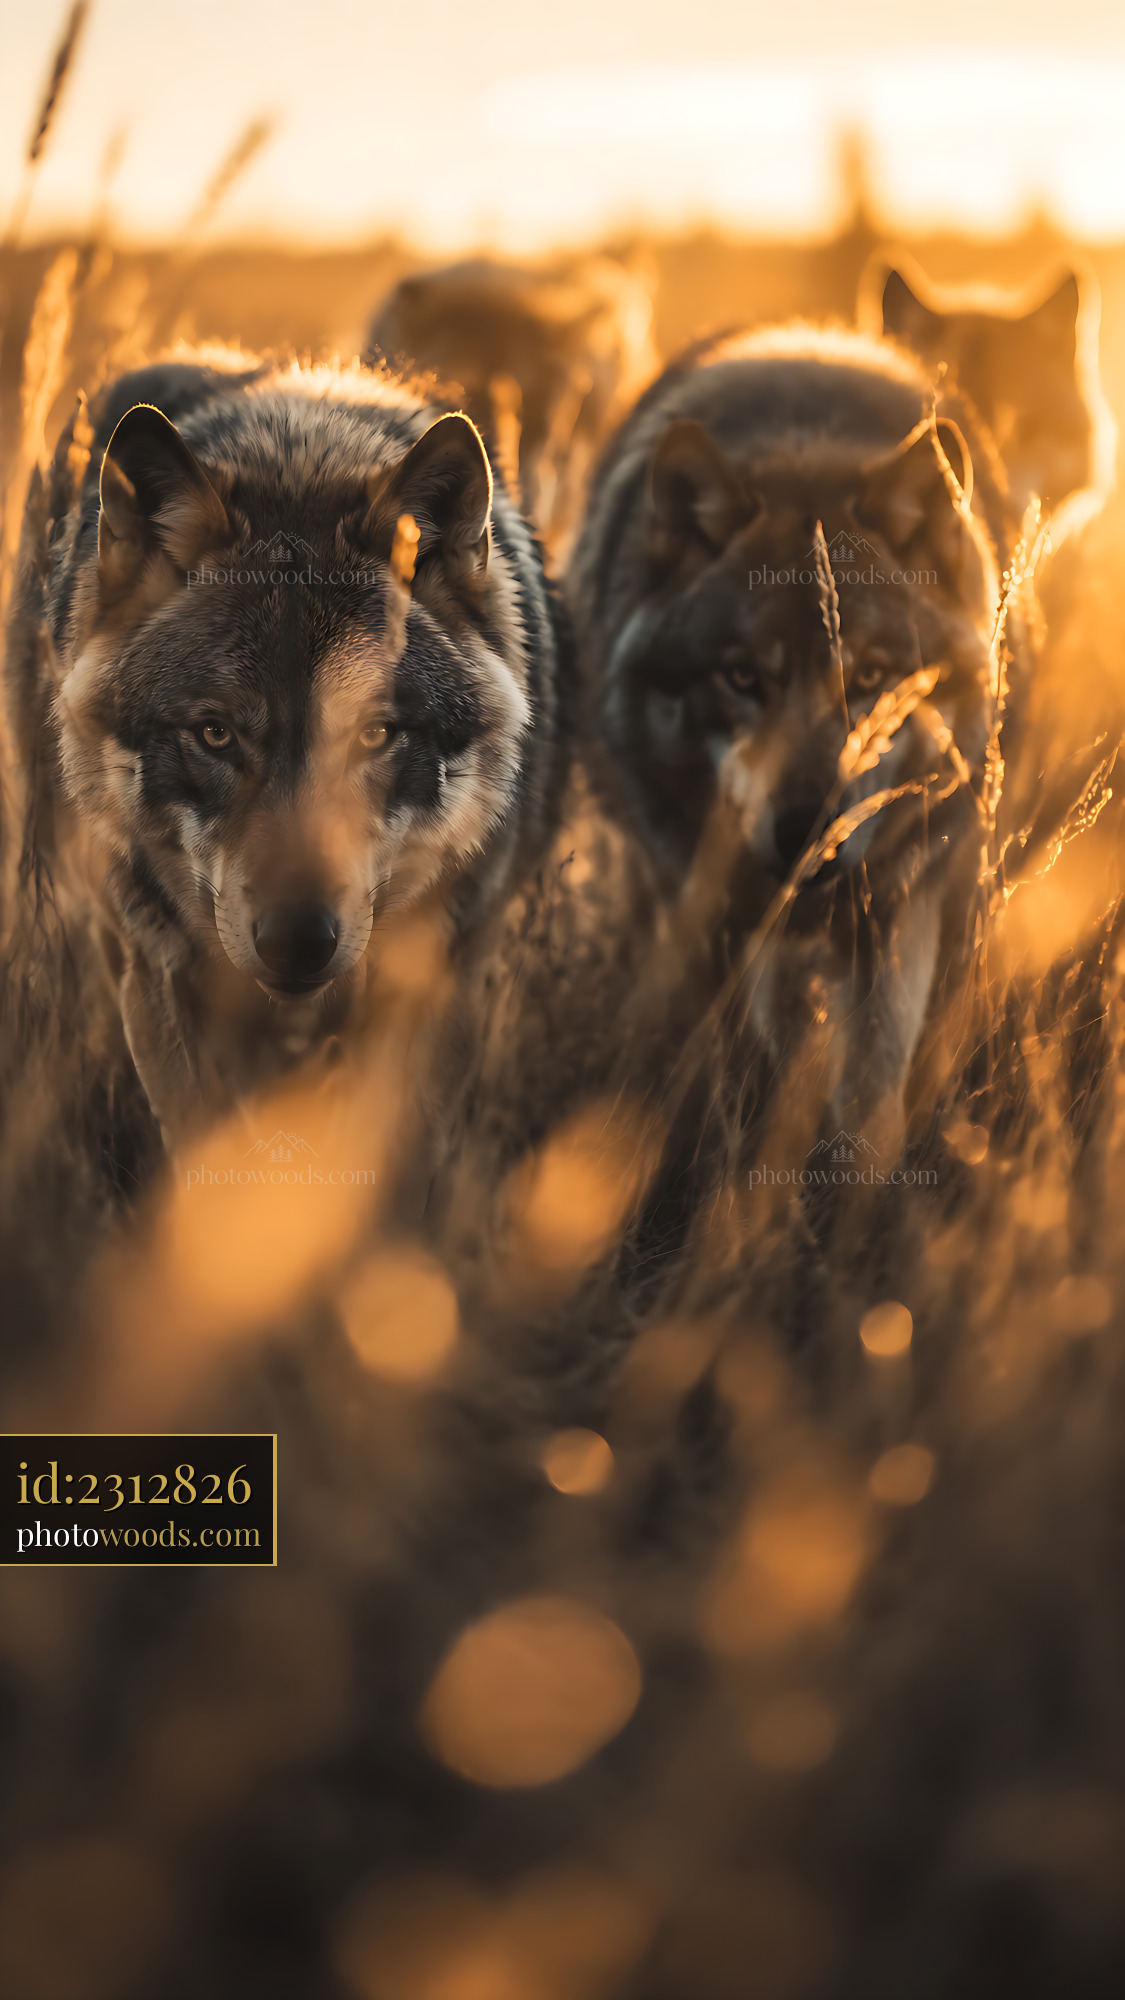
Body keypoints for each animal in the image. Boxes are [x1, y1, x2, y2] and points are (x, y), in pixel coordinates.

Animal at [568, 325, 1020, 1146]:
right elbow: (758, 1051)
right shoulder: (716, 913)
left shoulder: (900, 906)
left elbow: (872, 1086)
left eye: (871, 677)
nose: (809, 828)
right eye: (742, 677)